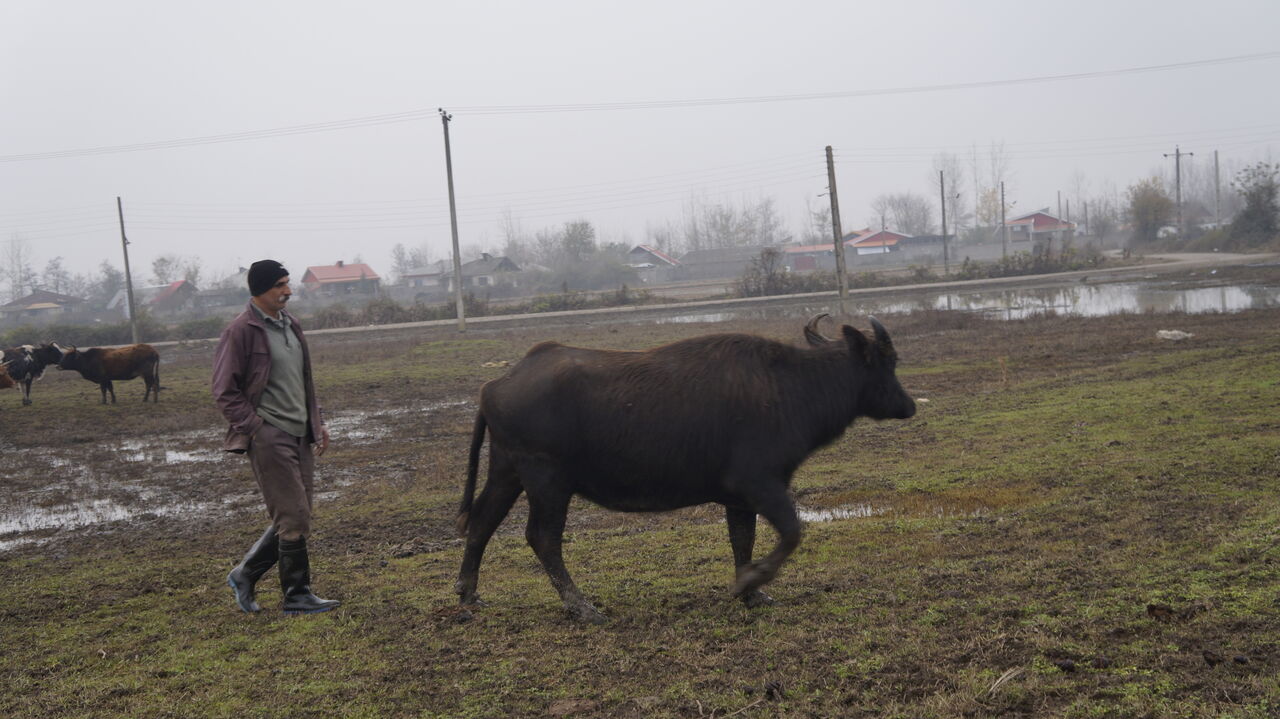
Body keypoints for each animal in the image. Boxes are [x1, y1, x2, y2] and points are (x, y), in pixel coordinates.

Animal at [455, 313, 916, 621]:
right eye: (889, 359)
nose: (909, 405)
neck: (791, 387)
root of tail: (496, 385)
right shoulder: (760, 483)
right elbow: (791, 532)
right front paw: (752, 581)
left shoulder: (738, 499)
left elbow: (742, 539)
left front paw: (752, 592)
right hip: (546, 481)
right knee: (542, 538)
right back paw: (581, 606)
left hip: (506, 472)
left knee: (481, 523)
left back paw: (468, 594)